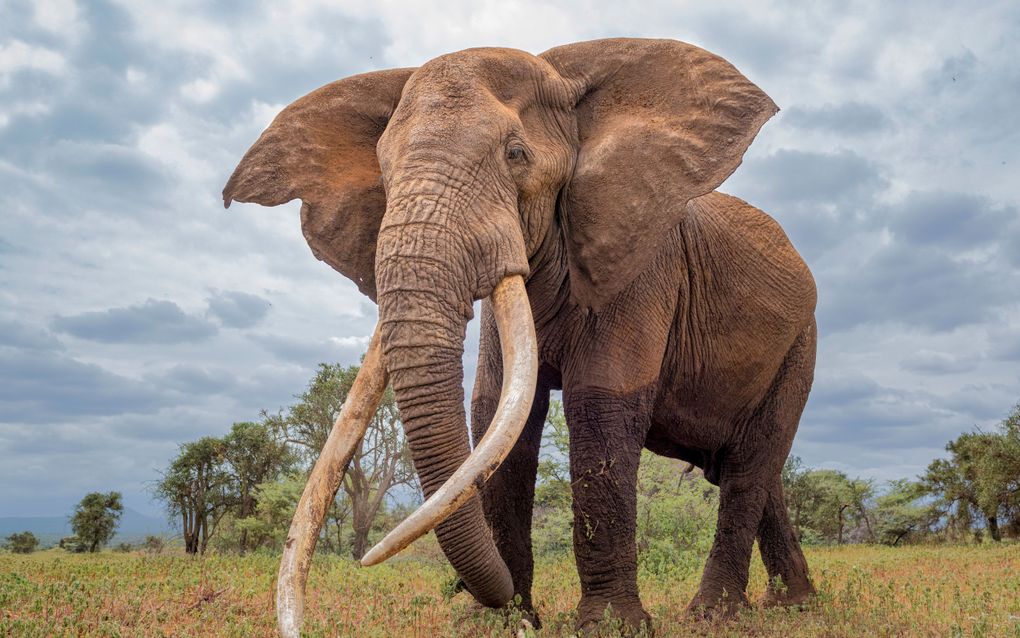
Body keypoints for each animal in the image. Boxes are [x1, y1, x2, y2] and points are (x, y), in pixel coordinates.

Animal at [227, 37, 816, 632]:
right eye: (384, 171)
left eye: (516, 155)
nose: (475, 591)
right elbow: (499, 409)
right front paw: (500, 623)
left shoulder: (643, 264)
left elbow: (597, 407)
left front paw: (609, 628)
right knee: (753, 472)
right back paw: (794, 603)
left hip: (800, 344)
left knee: (749, 467)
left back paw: (715, 617)